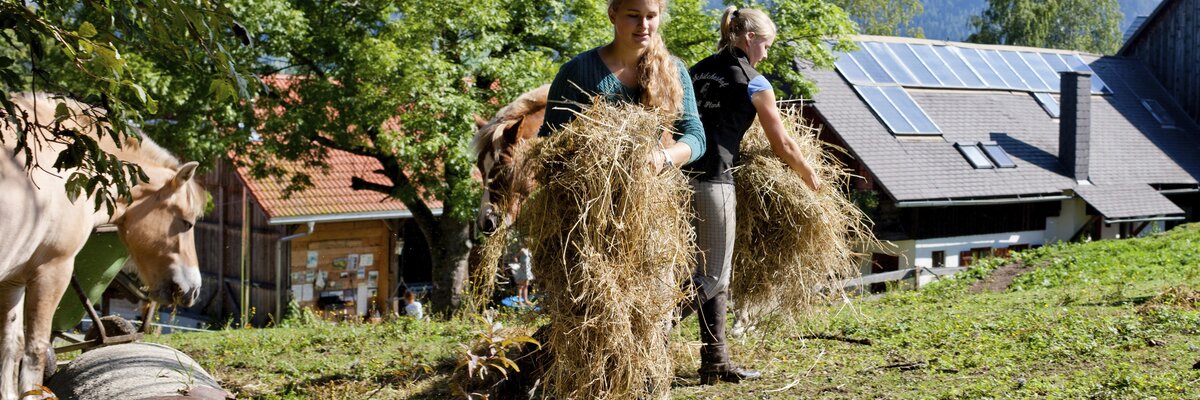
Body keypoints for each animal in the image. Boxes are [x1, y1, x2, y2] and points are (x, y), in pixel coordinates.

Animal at [1, 92, 206, 396]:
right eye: (187, 223)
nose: (194, 289)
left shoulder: (13, 281)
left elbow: (10, 347)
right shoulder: (52, 270)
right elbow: (35, 350)